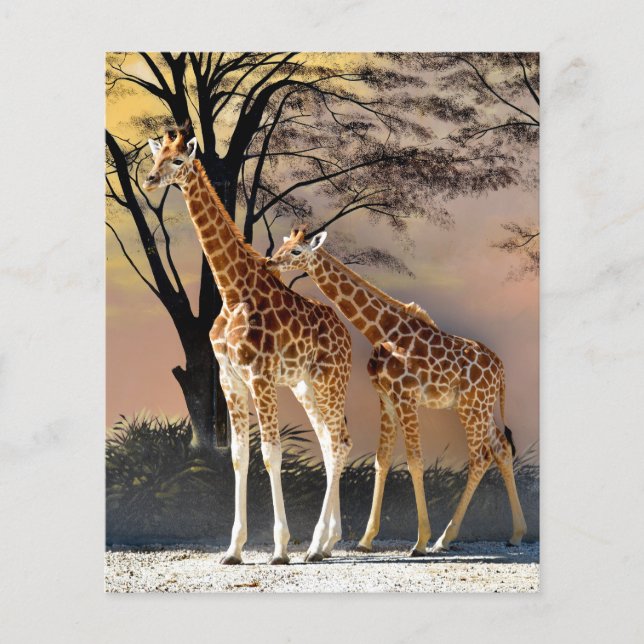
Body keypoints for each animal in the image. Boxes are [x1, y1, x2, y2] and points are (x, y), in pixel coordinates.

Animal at [143, 127, 353, 564]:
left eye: (177, 161)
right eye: (155, 158)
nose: (149, 181)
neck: (231, 291)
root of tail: (346, 336)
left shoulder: (260, 376)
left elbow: (271, 454)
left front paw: (280, 549)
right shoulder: (230, 379)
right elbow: (239, 457)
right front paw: (233, 549)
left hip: (330, 382)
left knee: (340, 443)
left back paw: (314, 545)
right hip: (306, 387)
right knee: (329, 445)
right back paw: (326, 543)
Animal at [267, 227, 527, 555]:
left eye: (296, 251)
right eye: (283, 245)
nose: (269, 263)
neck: (382, 330)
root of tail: (501, 369)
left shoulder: (407, 397)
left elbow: (415, 461)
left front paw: (420, 541)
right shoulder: (386, 398)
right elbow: (382, 460)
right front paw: (366, 540)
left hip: (472, 406)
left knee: (481, 457)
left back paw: (444, 538)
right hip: (479, 406)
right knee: (502, 448)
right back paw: (516, 533)